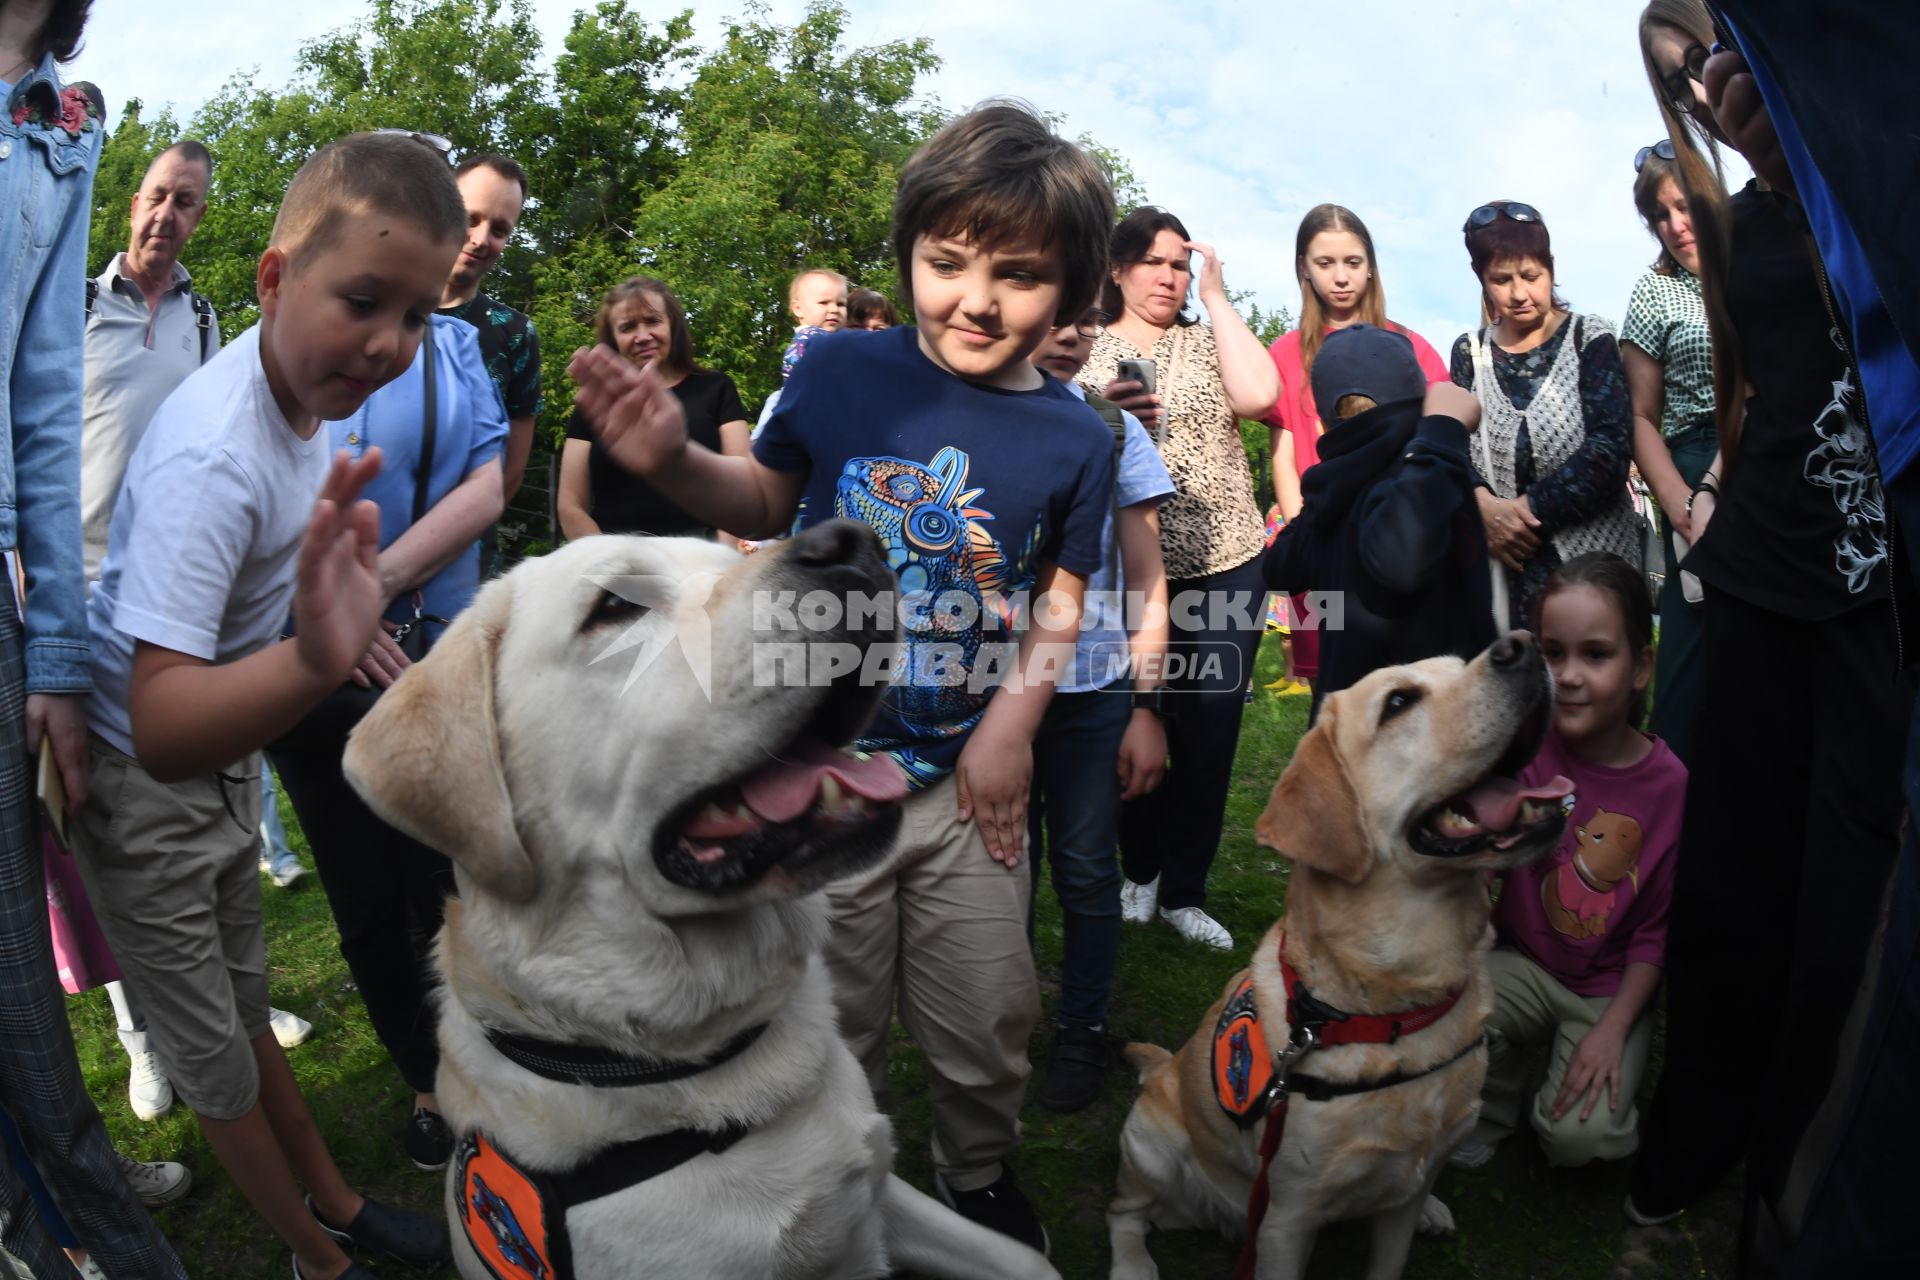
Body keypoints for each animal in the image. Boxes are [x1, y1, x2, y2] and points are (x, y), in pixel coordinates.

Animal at [1113, 637, 1574, 1274]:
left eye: (1461, 664)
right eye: (1399, 702)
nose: (1525, 644)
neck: (1398, 1010)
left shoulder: (1407, 1188)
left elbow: (1392, 1253)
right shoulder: (1287, 1219)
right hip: (1150, 1150)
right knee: (1127, 1215)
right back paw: (1132, 1264)